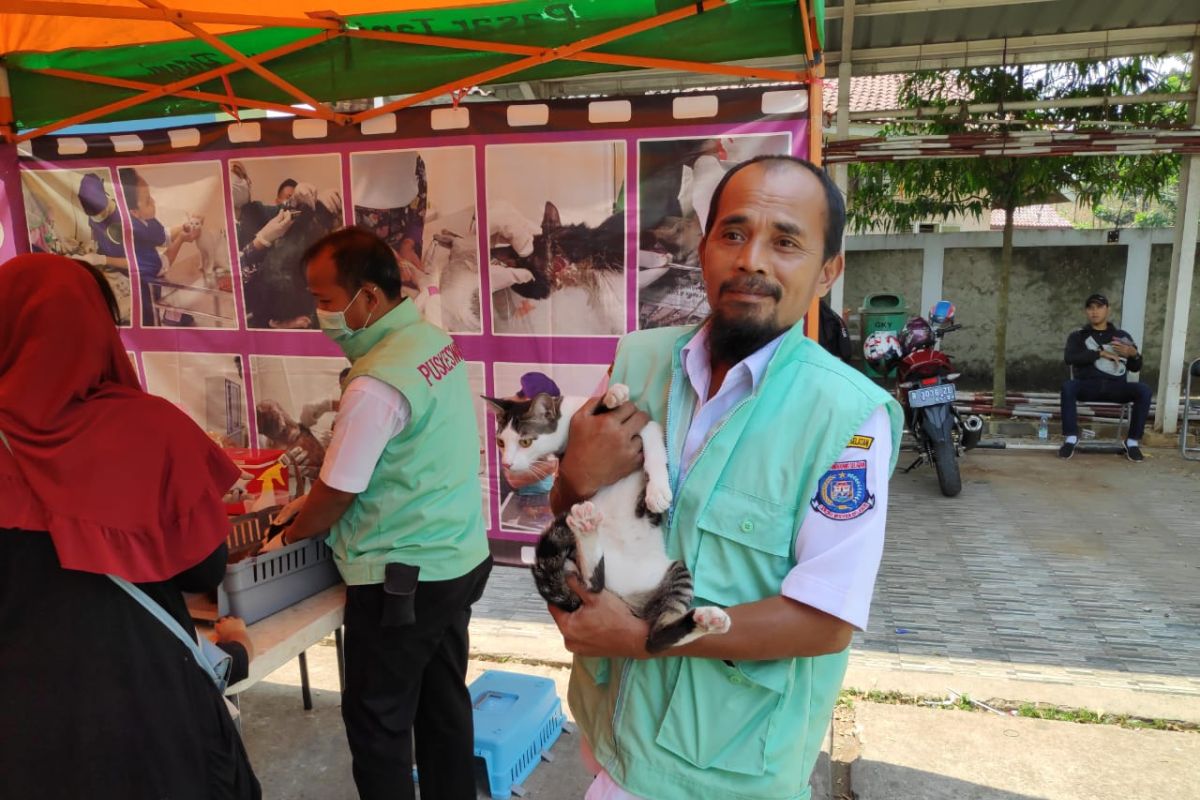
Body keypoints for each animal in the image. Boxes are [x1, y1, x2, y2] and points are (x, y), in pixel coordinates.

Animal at [480, 383, 729, 652]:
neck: (569, 419)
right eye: (501, 441)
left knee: (655, 637)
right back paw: (586, 530)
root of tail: (626, 597)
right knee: (597, 588)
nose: (507, 464)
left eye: (525, 441)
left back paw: (707, 620)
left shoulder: (642, 422)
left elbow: (653, 441)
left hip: (676, 570)